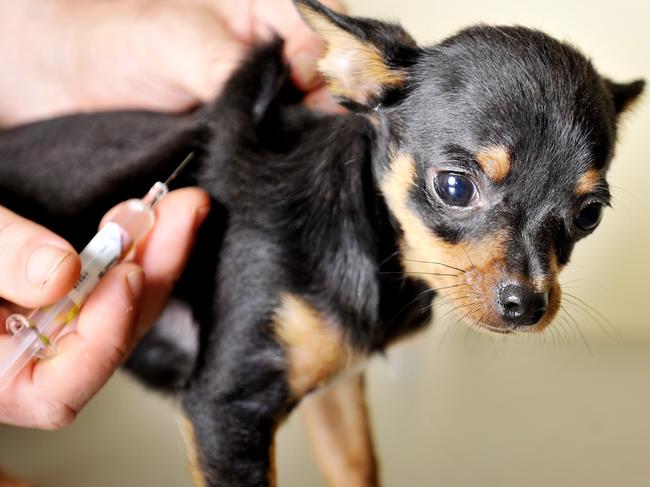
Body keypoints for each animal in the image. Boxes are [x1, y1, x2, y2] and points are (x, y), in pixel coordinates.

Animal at [0, 1, 640, 486]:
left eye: (589, 215)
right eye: (455, 187)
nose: (527, 305)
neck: (382, 258)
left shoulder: (336, 386)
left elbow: (355, 465)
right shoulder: (225, 412)